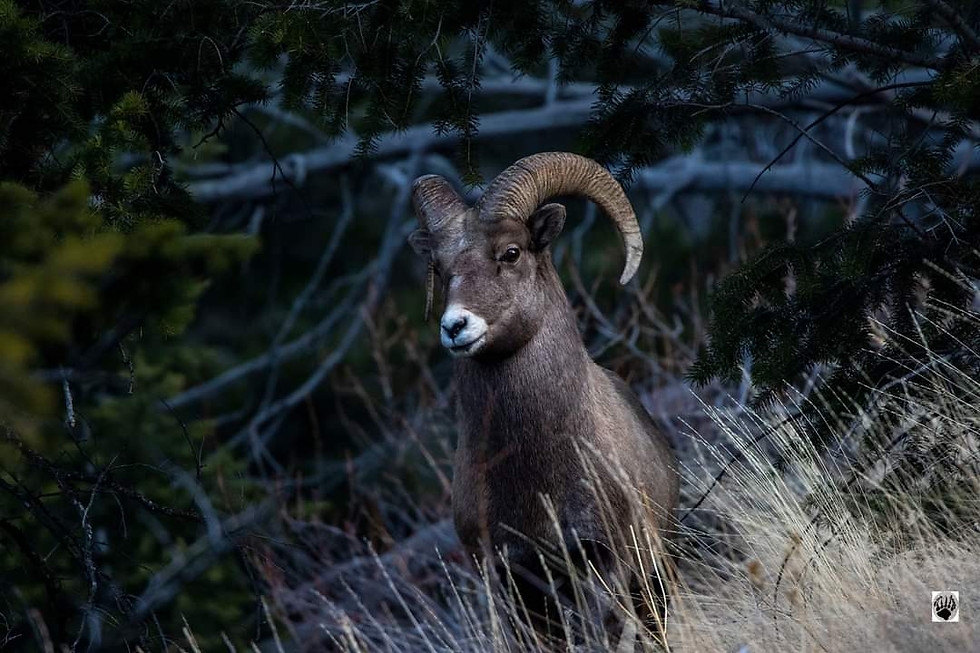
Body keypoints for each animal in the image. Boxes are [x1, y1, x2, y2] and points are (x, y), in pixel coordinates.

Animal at [408, 152, 679, 640]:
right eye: (439, 266)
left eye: (511, 252)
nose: (456, 327)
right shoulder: (513, 584)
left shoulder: (605, 562)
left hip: (654, 578)